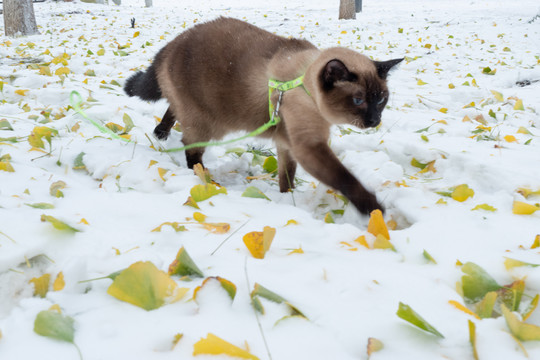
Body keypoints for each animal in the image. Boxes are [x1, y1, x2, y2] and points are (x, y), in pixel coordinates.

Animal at [125, 16, 400, 214]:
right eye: (358, 100)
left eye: (381, 100)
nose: (375, 121)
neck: (303, 82)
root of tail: (171, 44)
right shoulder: (309, 145)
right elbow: (345, 178)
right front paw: (374, 210)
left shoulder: (288, 144)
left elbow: (287, 175)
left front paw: (288, 198)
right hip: (207, 122)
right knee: (191, 149)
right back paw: (205, 180)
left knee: (171, 109)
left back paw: (160, 133)